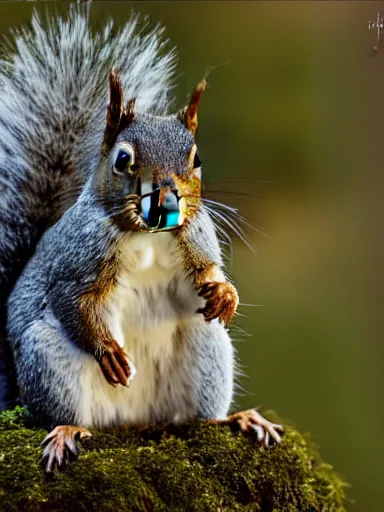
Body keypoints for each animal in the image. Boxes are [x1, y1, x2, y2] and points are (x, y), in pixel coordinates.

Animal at [0, 5, 282, 472]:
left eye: (196, 159)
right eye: (122, 159)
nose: (167, 197)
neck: (148, 235)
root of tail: (131, 423)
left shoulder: (197, 236)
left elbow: (208, 272)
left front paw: (226, 295)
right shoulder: (78, 259)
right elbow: (71, 300)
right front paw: (108, 351)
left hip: (207, 349)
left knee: (197, 416)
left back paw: (236, 420)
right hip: (48, 360)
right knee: (62, 409)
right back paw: (66, 431)